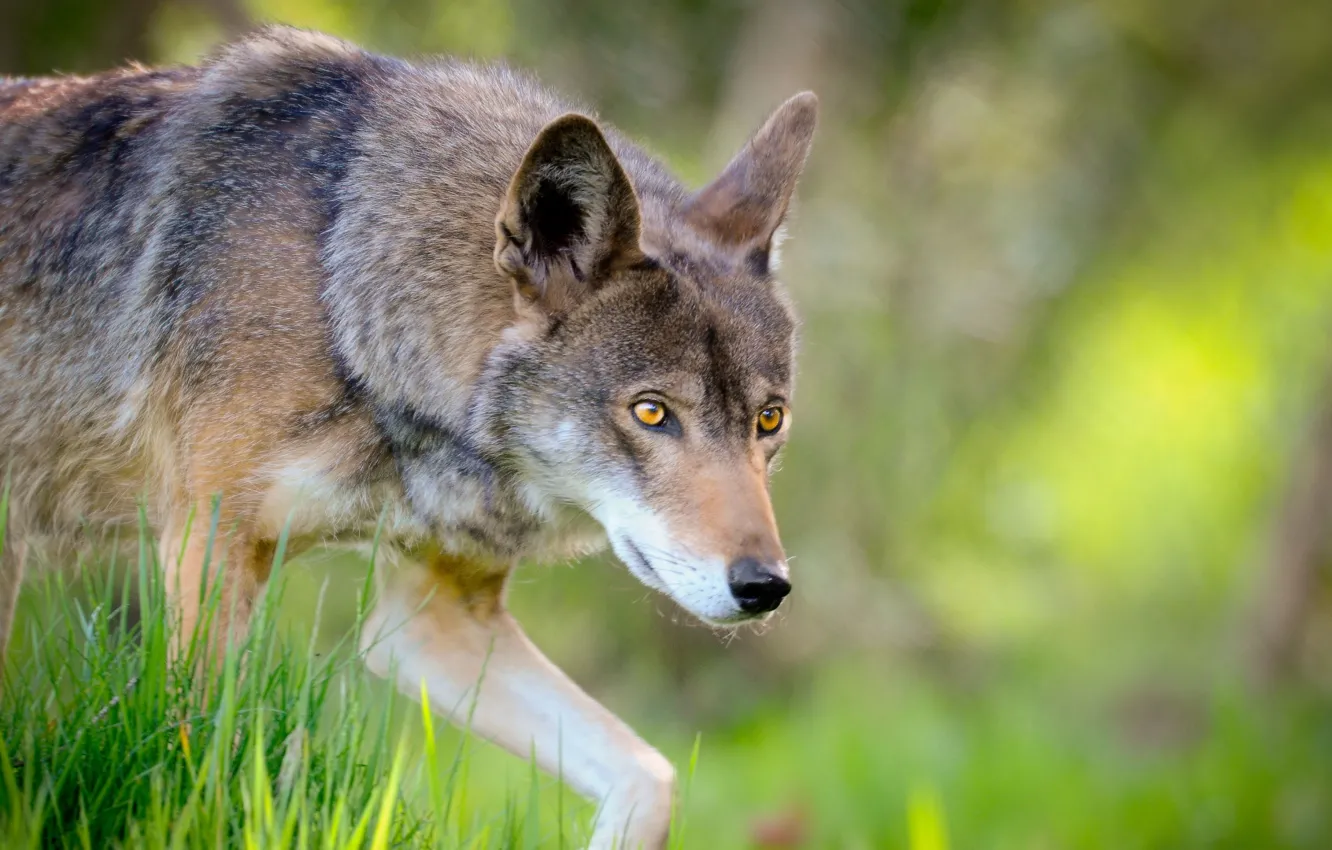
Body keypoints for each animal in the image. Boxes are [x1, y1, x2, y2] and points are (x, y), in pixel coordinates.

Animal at [0, 26, 817, 848]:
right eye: (651, 413)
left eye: (768, 420)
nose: (764, 587)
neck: (340, 288)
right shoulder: (207, 545)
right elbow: (200, 759)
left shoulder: (428, 619)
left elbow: (652, 775)